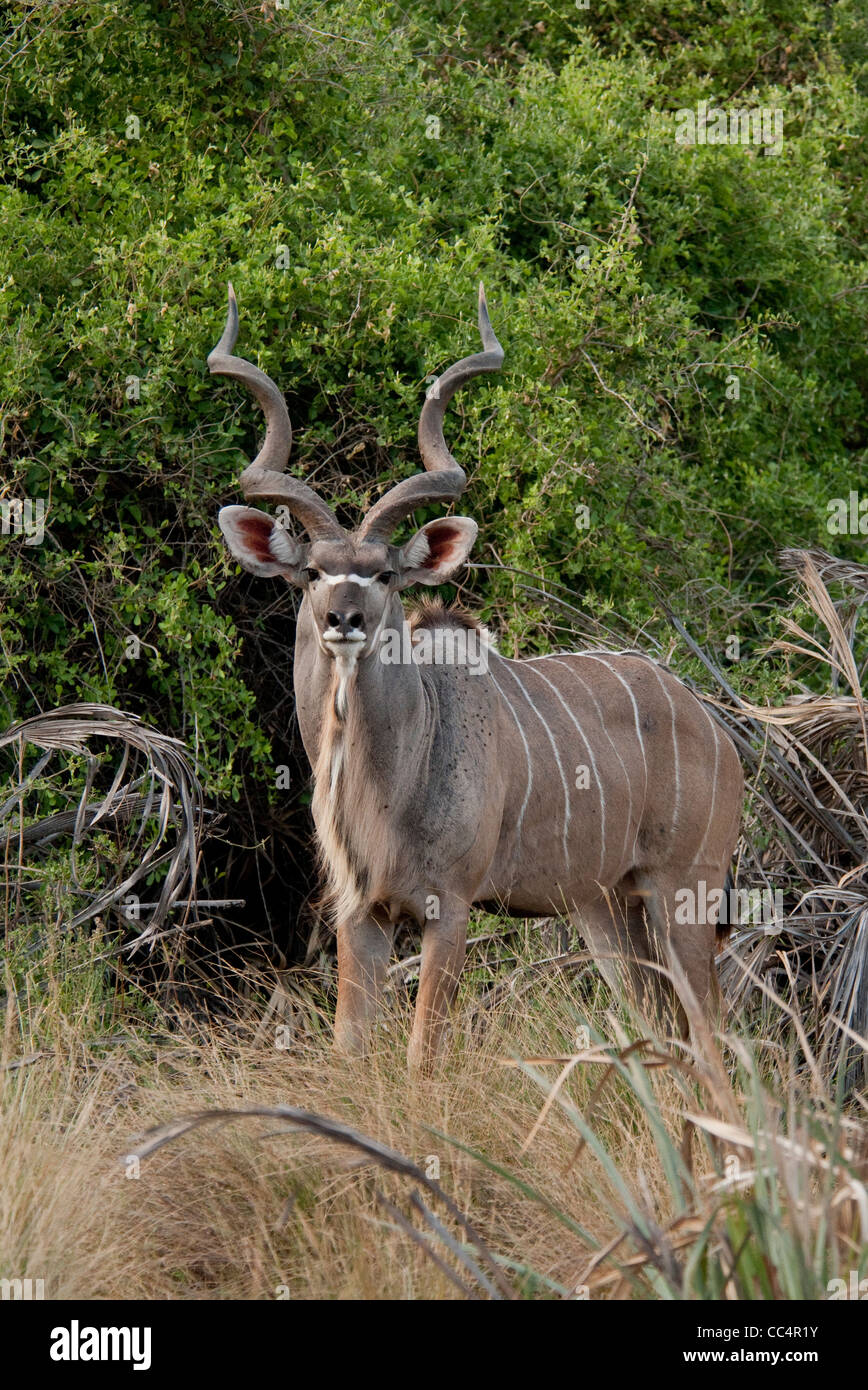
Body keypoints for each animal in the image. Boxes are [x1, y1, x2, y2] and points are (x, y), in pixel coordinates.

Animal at [214, 279, 740, 1061]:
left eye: (385, 575)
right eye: (311, 571)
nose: (344, 618)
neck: (392, 780)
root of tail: (717, 729)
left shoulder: (451, 910)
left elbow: (420, 1058)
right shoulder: (359, 914)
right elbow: (350, 1048)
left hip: (684, 894)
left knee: (712, 1035)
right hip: (605, 906)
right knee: (657, 1028)